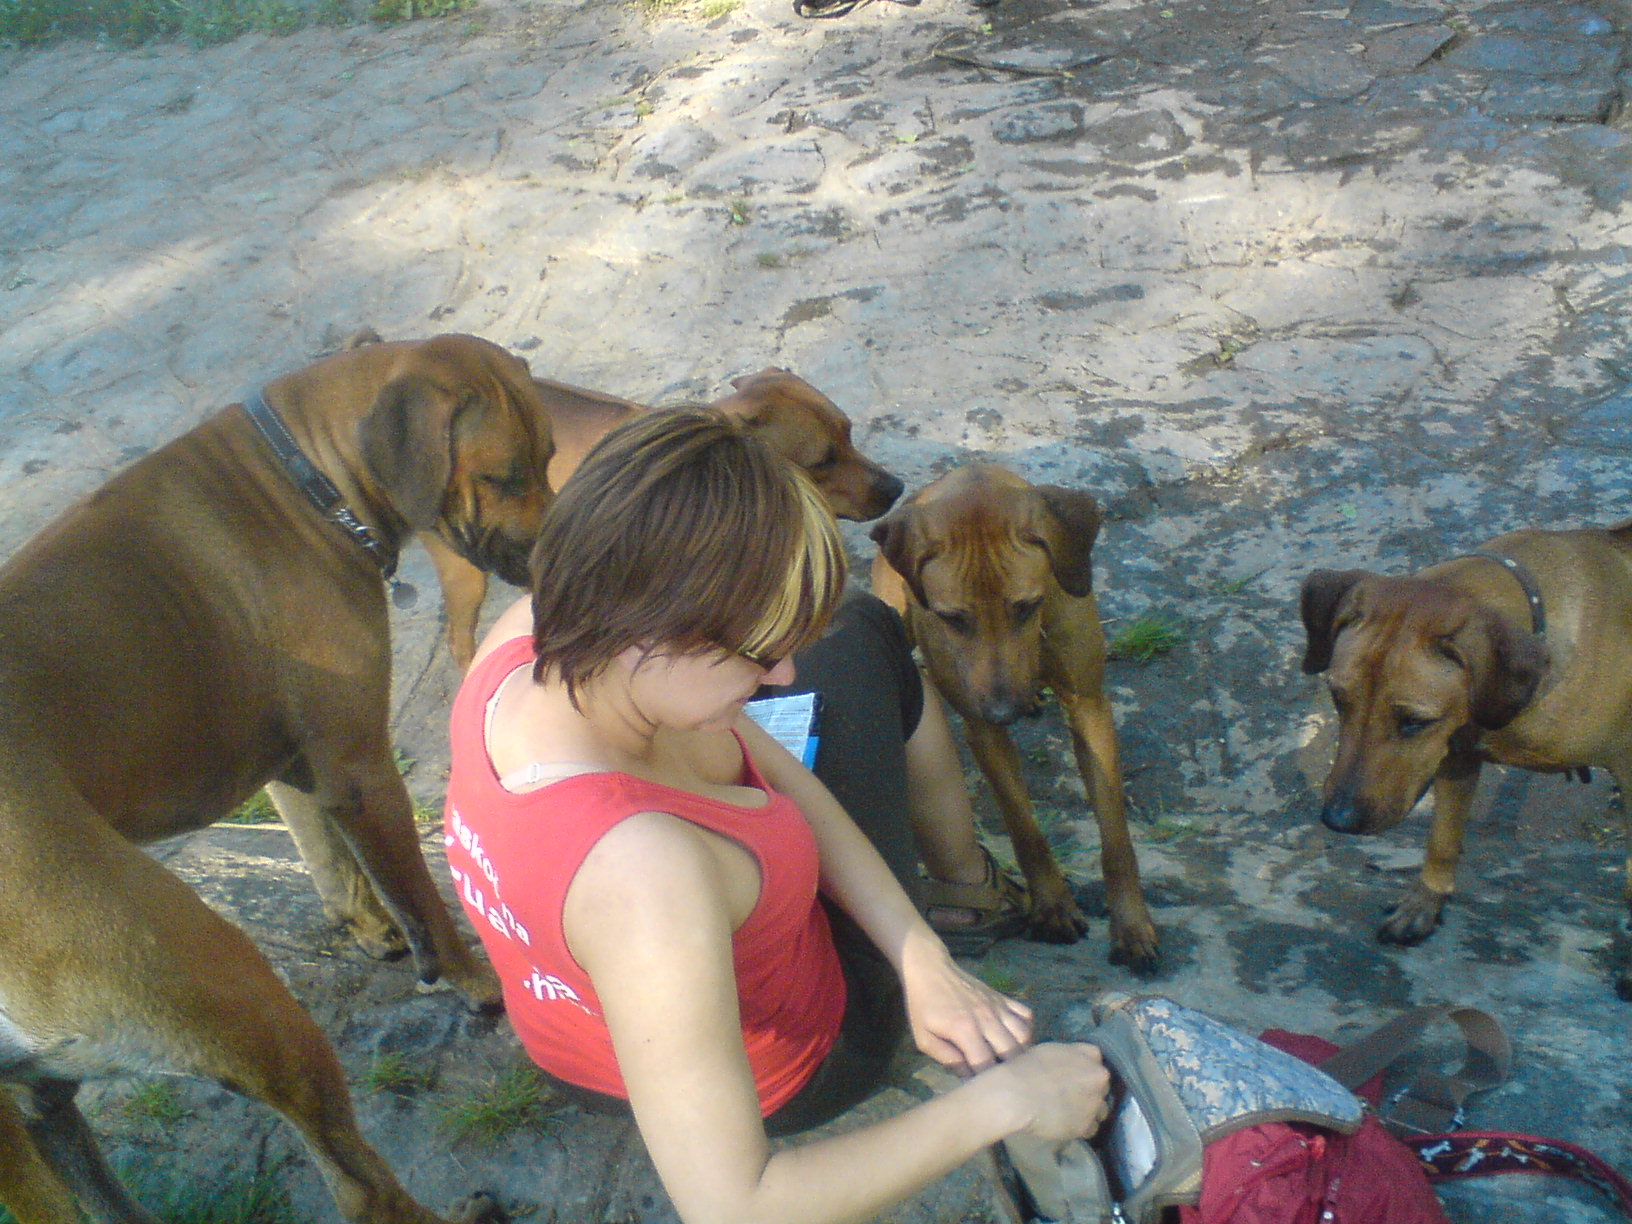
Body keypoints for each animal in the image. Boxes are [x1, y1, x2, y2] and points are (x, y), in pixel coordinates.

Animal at [0, 335, 550, 1224]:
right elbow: (419, 898)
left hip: (40, 1100)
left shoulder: (297, 764)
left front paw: (371, 930)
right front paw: (467, 978)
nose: (554, 551)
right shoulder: (361, 767)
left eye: (550, 456)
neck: (308, 477)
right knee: (360, 1189)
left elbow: (329, 860)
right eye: (505, 476)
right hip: (237, 997)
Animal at [870, 464, 1159, 969]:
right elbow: (1025, 828)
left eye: (1026, 606)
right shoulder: (983, 728)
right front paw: (1052, 906)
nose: (1004, 710)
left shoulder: (1089, 707)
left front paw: (1131, 924)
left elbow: (1116, 836)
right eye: (953, 618)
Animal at [1299, 522, 1632, 999]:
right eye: (1338, 699)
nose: (1337, 820)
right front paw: (1425, 902)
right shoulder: (1455, 756)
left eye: (1414, 722)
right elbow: (1441, 838)